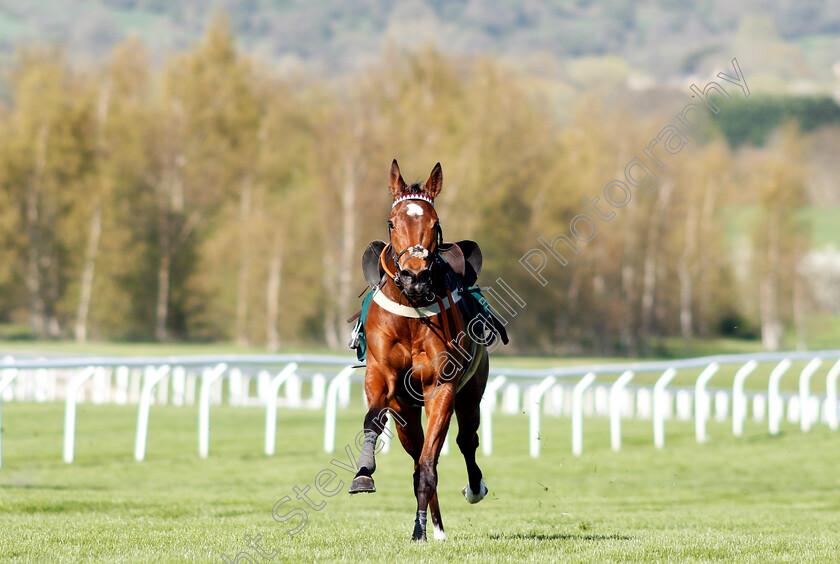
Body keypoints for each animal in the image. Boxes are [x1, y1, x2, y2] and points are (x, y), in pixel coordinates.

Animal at [346, 160, 492, 540]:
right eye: (391, 222)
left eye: (434, 223)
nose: (415, 277)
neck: (412, 311)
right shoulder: (382, 375)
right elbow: (373, 419)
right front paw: (363, 472)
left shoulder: (441, 386)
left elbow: (432, 462)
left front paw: (419, 529)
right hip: (406, 411)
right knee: (416, 451)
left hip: (471, 390)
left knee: (465, 439)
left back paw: (467, 495)